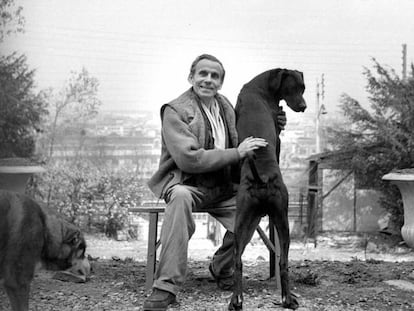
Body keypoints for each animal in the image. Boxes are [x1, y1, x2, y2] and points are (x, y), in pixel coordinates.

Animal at [230, 69, 308, 310]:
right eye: (295, 87)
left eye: (303, 88)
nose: (304, 106)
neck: (260, 87)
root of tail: (262, 179)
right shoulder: (278, 135)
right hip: (282, 220)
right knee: (283, 262)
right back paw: (288, 299)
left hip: (242, 222)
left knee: (237, 261)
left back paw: (236, 301)